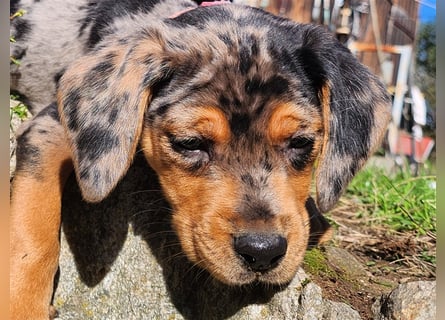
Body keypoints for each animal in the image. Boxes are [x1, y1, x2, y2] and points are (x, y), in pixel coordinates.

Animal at [7, 0, 388, 318]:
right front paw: (21, 305)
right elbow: (33, 230)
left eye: (301, 142)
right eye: (190, 143)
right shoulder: (48, 127)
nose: (263, 251)